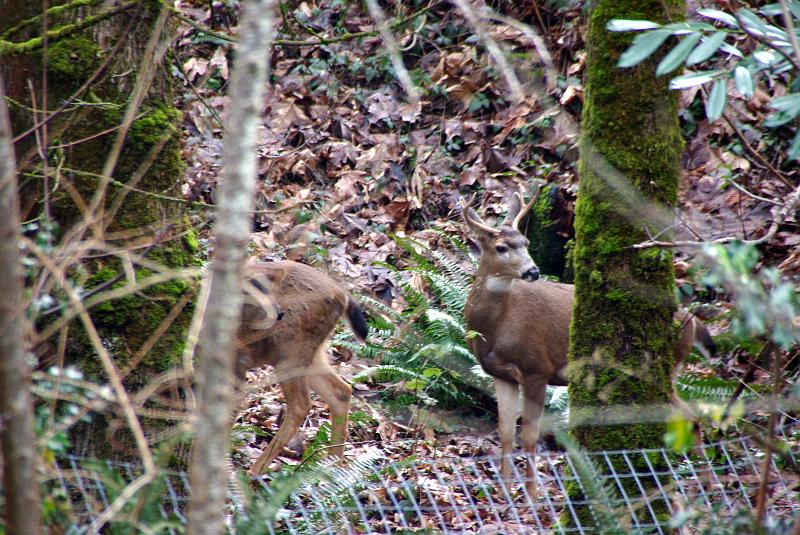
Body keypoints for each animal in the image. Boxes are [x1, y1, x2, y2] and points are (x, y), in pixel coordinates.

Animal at [233, 262, 368, 476]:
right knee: (342, 390)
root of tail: (342, 294)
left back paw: (255, 471)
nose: (278, 314)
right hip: (310, 353)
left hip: (289, 350)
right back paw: (333, 469)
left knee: (301, 404)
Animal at [462, 188, 712, 498]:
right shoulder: (502, 374)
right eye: (501, 247)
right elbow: (506, 432)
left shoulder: (536, 368)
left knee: (690, 415)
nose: (533, 272)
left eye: (526, 242)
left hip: (661, 367)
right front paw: (505, 493)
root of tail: (692, 322)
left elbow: (529, 436)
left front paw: (531, 497)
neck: (498, 327)